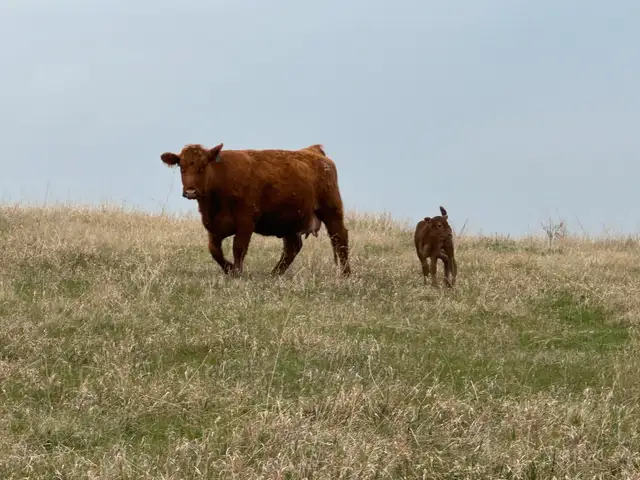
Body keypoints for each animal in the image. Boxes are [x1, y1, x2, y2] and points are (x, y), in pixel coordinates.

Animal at [160, 142, 351, 277]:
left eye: (202, 166)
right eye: (182, 167)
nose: (190, 191)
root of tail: (313, 152)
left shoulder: (245, 223)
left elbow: (238, 248)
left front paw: (237, 273)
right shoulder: (213, 227)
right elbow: (214, 251)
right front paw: (230, 269)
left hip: (331, 211)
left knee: (339, 239)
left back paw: (345, 274)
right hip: (290, 221)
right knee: (292, 247)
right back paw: (274, 274)